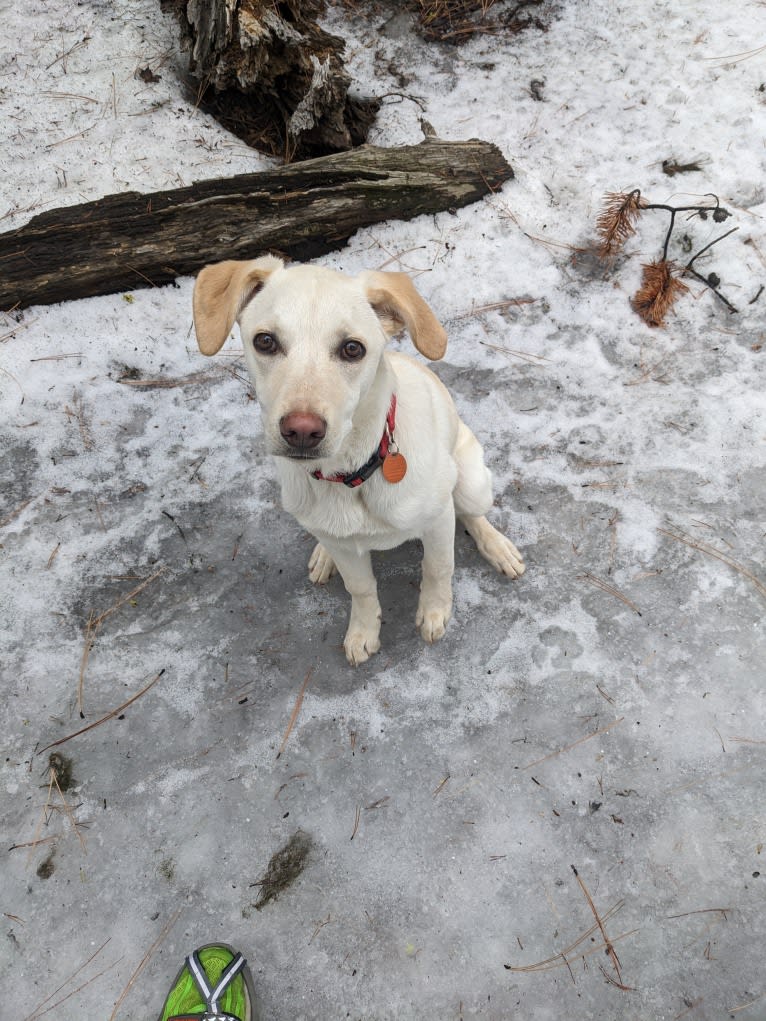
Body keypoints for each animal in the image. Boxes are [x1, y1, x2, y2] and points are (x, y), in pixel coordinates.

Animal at [195, 259, 527, 665]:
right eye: (265, 341)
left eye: (352, 349)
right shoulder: (346, 548)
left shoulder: (437, 520)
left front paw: (434, 612)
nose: (301, 432)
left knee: (473, 514)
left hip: (470, 481)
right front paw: (364, 631)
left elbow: (437, 567)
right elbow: (361, 587)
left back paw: (498, 547)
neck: (351, 472)